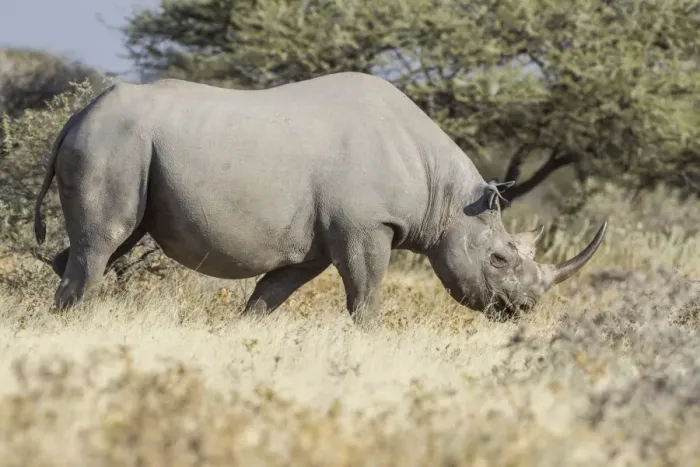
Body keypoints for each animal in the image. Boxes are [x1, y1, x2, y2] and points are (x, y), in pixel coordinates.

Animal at [34, 72, 606, 325]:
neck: (444, 196)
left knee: (112, 241)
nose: (524, 309)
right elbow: (366, 294)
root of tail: (76, 116)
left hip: (119, 143)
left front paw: (245, 336)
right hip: (113, 141)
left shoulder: (310, 245)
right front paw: (368, 342)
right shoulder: (366, 226)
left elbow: (268, 297)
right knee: (104, 241)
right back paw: (77, 324)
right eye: (500, 258)